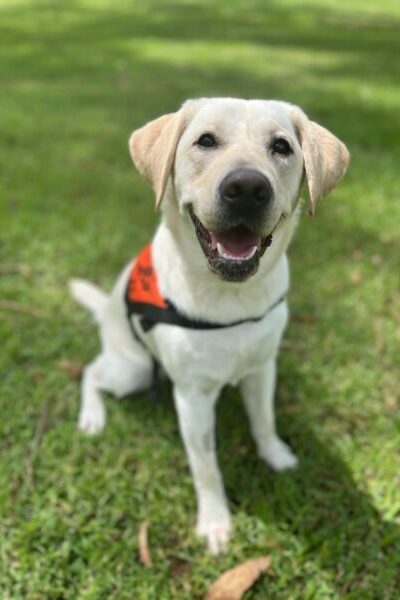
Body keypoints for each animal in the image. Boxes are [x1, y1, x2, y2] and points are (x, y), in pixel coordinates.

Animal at [70, 98, 348, 552]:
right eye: (205, 141)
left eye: (282, 146)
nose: (248, 189)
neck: (230, 298)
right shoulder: (194, 398)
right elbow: (207, 467)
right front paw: (216, 522)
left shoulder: (262, 367)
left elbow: (264, 420)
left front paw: (275, 454)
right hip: (133, 369)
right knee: (91, 371)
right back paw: (92, 416)